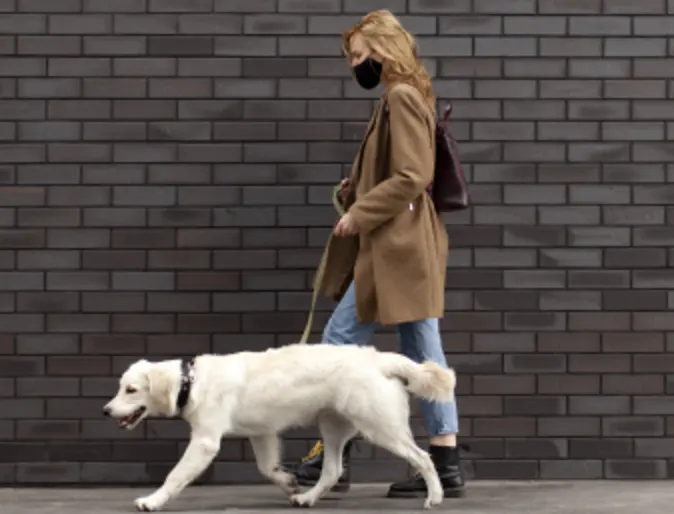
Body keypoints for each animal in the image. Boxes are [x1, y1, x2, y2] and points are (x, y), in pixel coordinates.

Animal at [101, 340, 456, 508]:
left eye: (130, 390)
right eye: (121, 388)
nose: (105, 411)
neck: (191, 381)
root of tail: (380, 358)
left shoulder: (205, 441)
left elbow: (175, 476)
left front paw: (152, 501)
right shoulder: (263, 433)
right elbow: (266, 468)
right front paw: (288, 482)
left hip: (381, 427)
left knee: (423, 458)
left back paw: (435, 497)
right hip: (333, 427)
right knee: (331, 471)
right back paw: (307, 498)